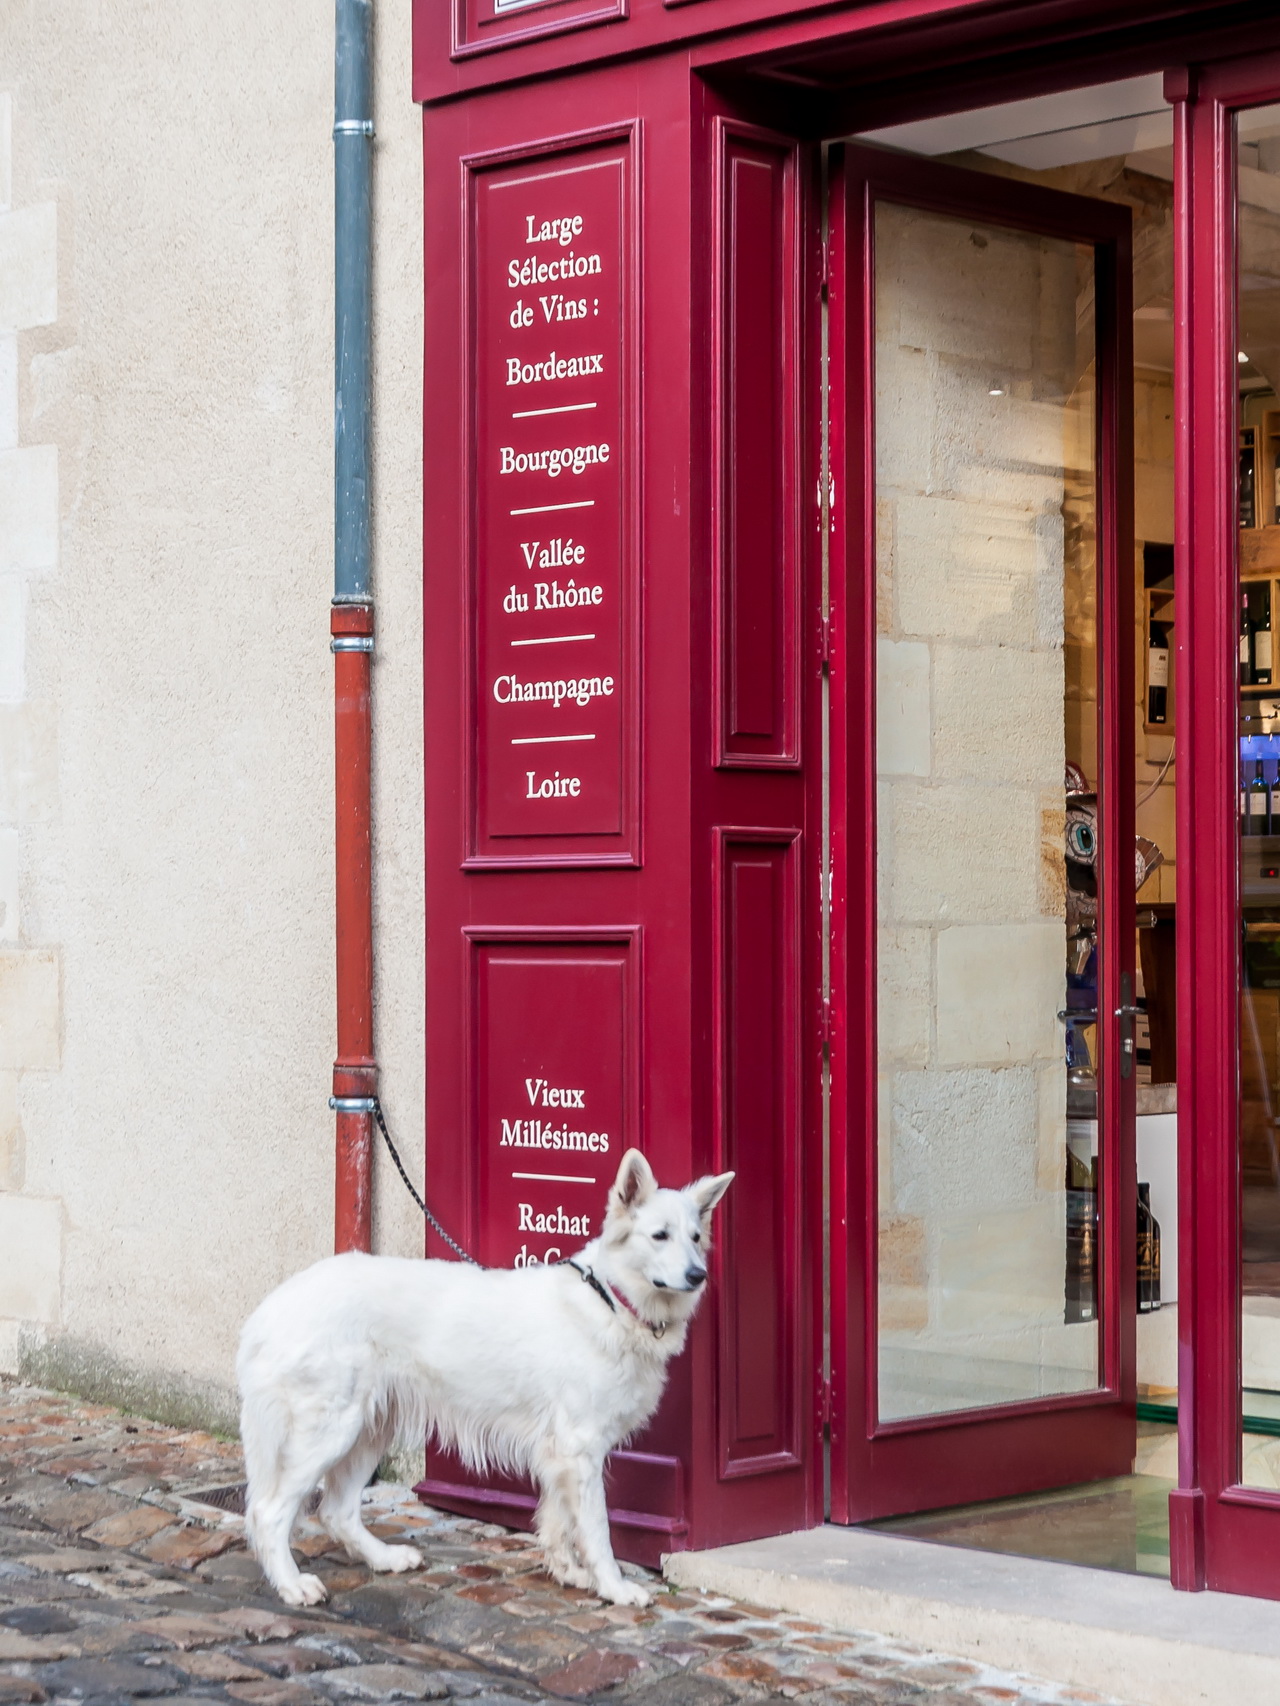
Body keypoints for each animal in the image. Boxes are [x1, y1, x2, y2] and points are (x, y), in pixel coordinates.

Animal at [236, 1148, 733, 1608]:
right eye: (660, 1236)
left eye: (694, 1238)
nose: (698, 1275)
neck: (611, 1299)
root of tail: (272, 1308)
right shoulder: (581, 1450)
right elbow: (597, 1531)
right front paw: (613, 1587)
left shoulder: (560, 1457)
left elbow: (558, 1522)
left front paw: (568, 1572)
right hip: (331, 1432)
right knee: (269, 1512)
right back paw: (292, 1585)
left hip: (371, 1429)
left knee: (337, 1511)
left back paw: (384, 1558)